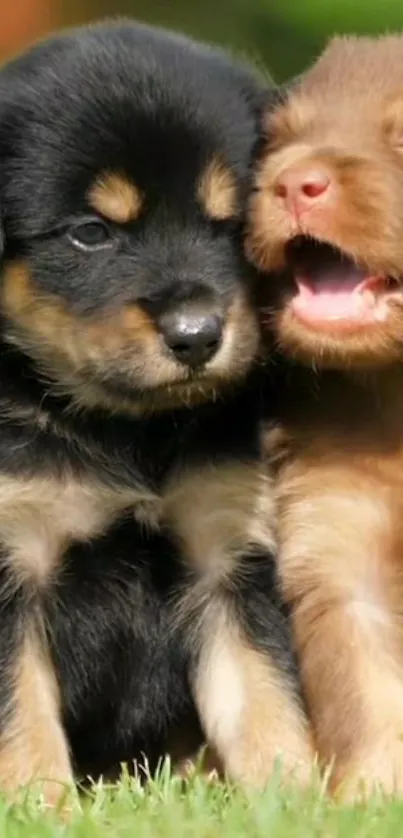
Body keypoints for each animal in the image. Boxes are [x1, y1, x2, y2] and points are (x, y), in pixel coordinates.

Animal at [0, 21, 314, 808]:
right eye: (89, 233)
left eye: (231, 221)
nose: (197, 335)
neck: (124, 429)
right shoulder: (13, 558)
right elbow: (22, 718)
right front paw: (42, 810)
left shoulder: (223, 555)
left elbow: (265, 695)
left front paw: (297, 801)